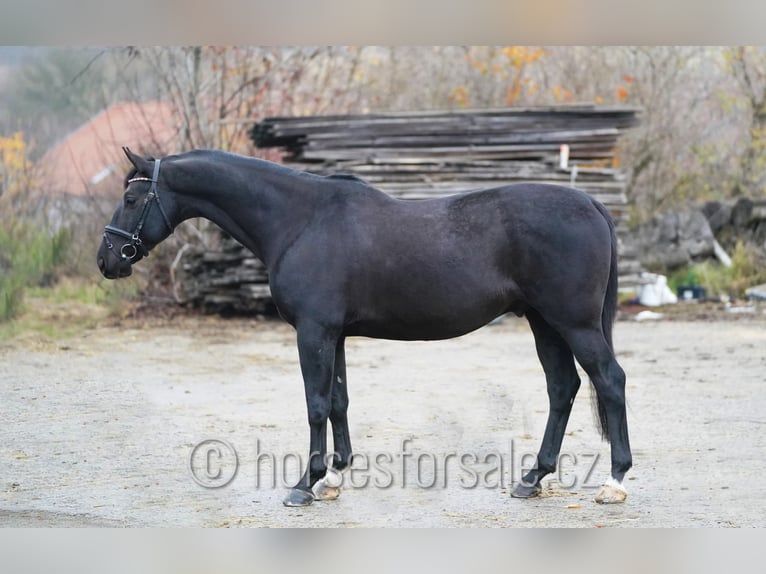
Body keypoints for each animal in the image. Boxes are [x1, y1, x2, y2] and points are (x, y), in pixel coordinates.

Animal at [97, 147, 632, 507]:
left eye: (132, 196)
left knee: (609, 381)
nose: (107, 260)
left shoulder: (312, 332)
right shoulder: (334, 335)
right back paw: (533, 478)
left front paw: (303, 485)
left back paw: (614, 481)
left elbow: (315, 405)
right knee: (562, 388)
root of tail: (591, 203)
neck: (299, 220)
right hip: (545, 323)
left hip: (575, 323)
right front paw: (334, 477)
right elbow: (338, 400)